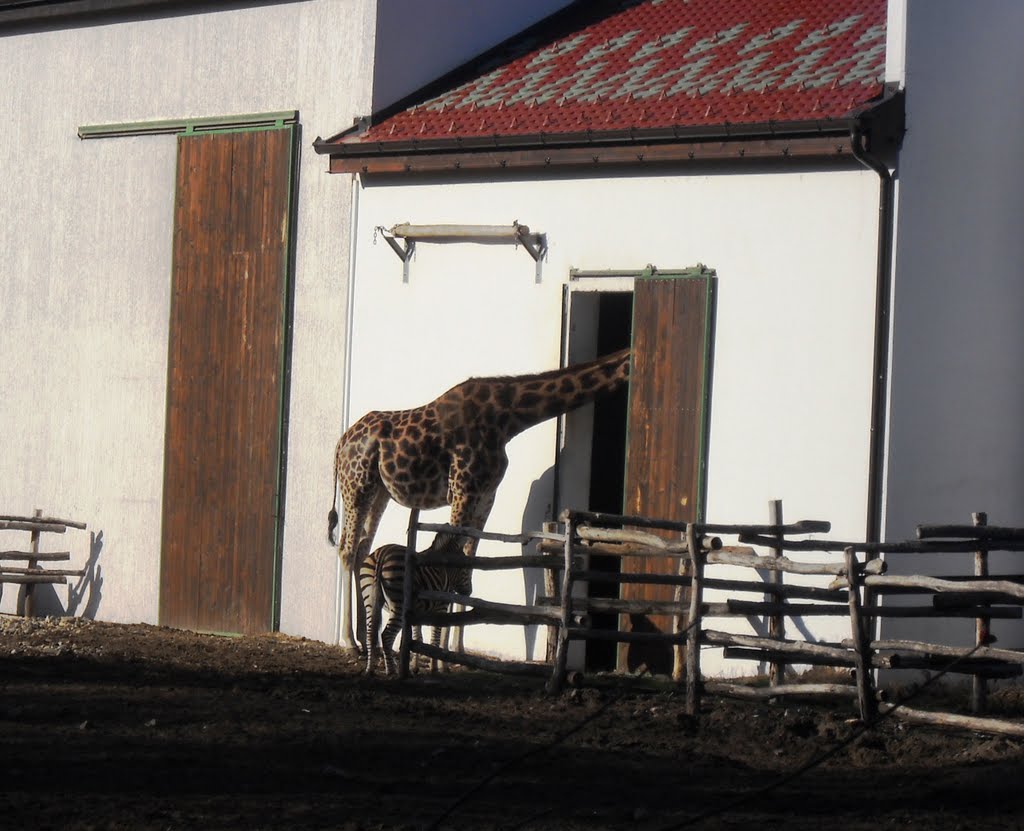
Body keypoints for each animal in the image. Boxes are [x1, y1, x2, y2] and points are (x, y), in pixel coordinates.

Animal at [327, 345, 630, 650]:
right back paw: (349, 640)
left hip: (380, 492)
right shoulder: (463, 489)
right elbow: (453, 556)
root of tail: (340, 444)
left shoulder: (486, 496)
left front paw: (455, 646)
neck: (508, 418)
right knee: (347, 549)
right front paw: (437, 647)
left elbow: (469, 560)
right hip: (356, 487)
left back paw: (366, 637)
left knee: (363, 548)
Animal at [358, 544, 473, 675]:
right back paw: (391, 671)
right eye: (466, 570)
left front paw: (414, 667)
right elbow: (435, 640)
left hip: (369, 601)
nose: (469, 592)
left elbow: (418, 638)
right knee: (386, 635)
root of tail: (382, 552)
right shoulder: (441, 609)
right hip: (399, 604)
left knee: (370, 635)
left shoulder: (416, 613)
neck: (446, 571)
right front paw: (433, 669)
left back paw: (369, 670)